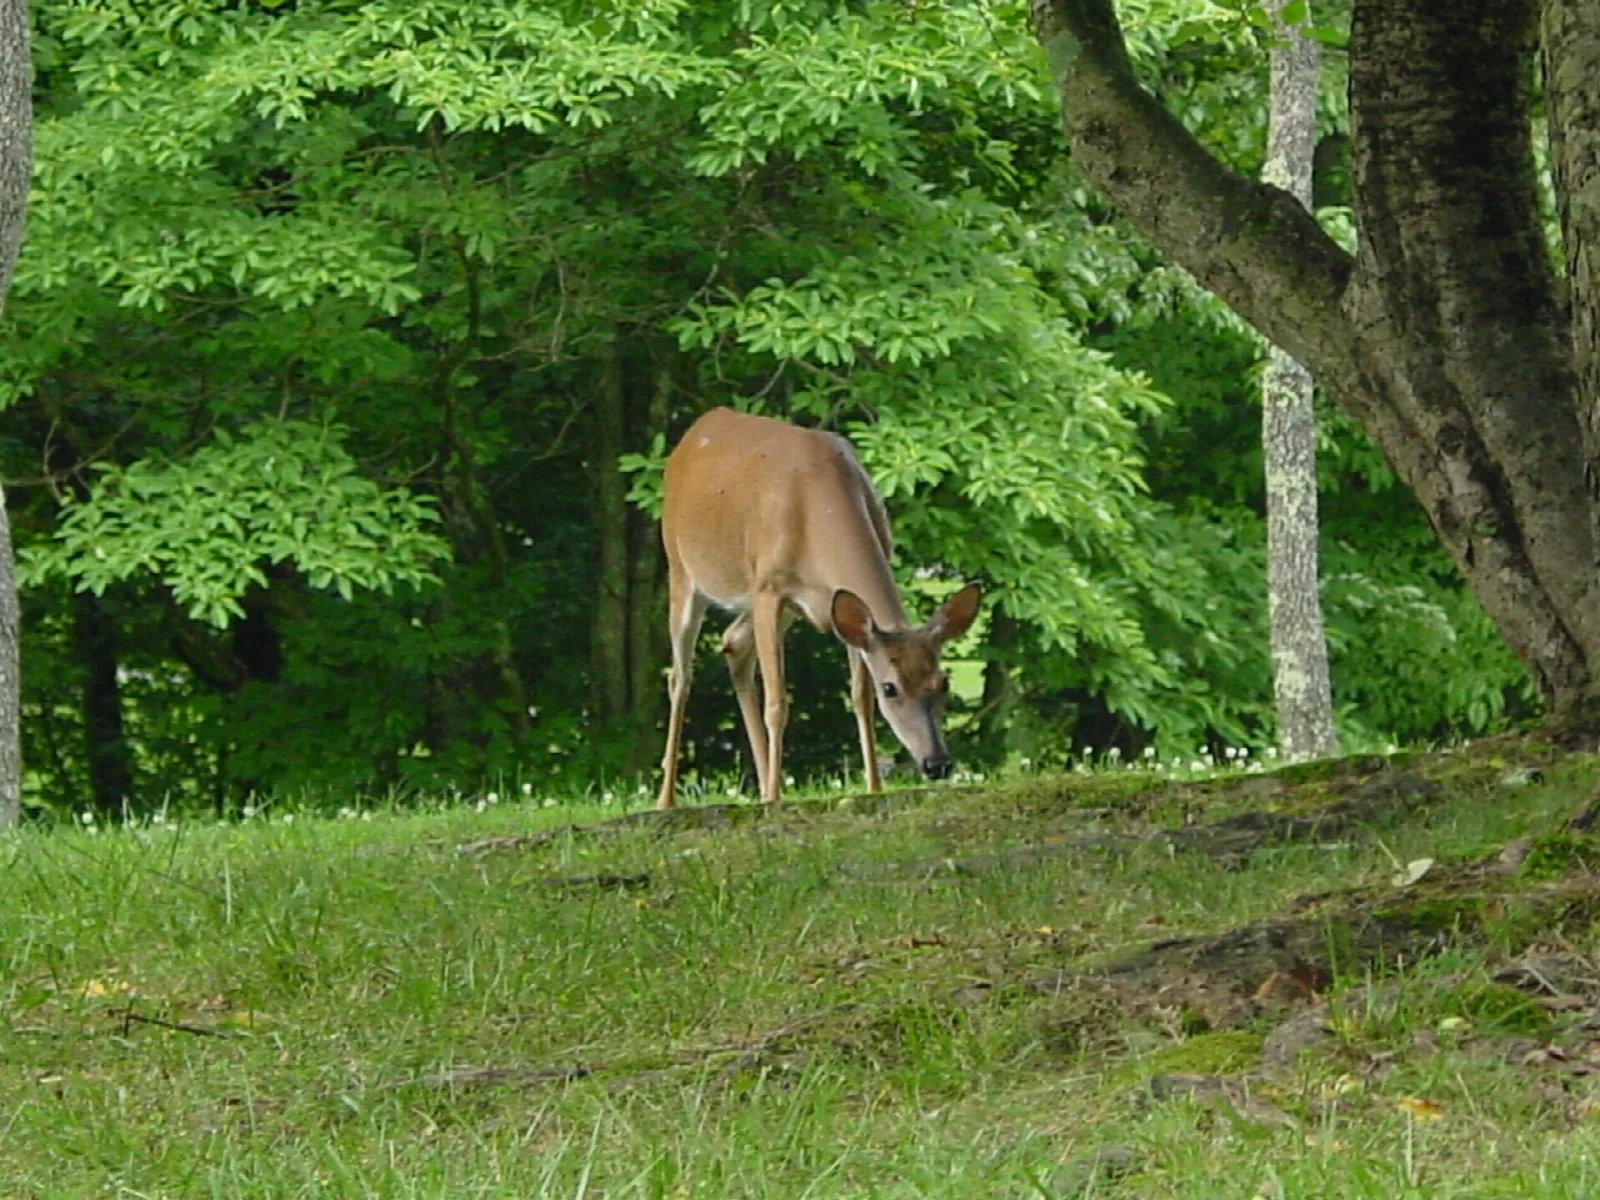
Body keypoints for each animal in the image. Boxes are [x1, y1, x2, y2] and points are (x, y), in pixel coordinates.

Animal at [655, 407, 982, 810]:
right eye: (890, 688)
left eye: (944, 682)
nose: (937, 764)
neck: (814, 508)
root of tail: (697, 429)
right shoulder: (768, 586)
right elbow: (777, 703)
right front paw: (776, 798)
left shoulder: (841, 611)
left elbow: (859, 698)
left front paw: (874, 788)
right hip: (682, 568)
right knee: (680, 676)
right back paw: (668, 799)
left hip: (785, 609)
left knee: (734, 643)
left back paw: (761, 785)